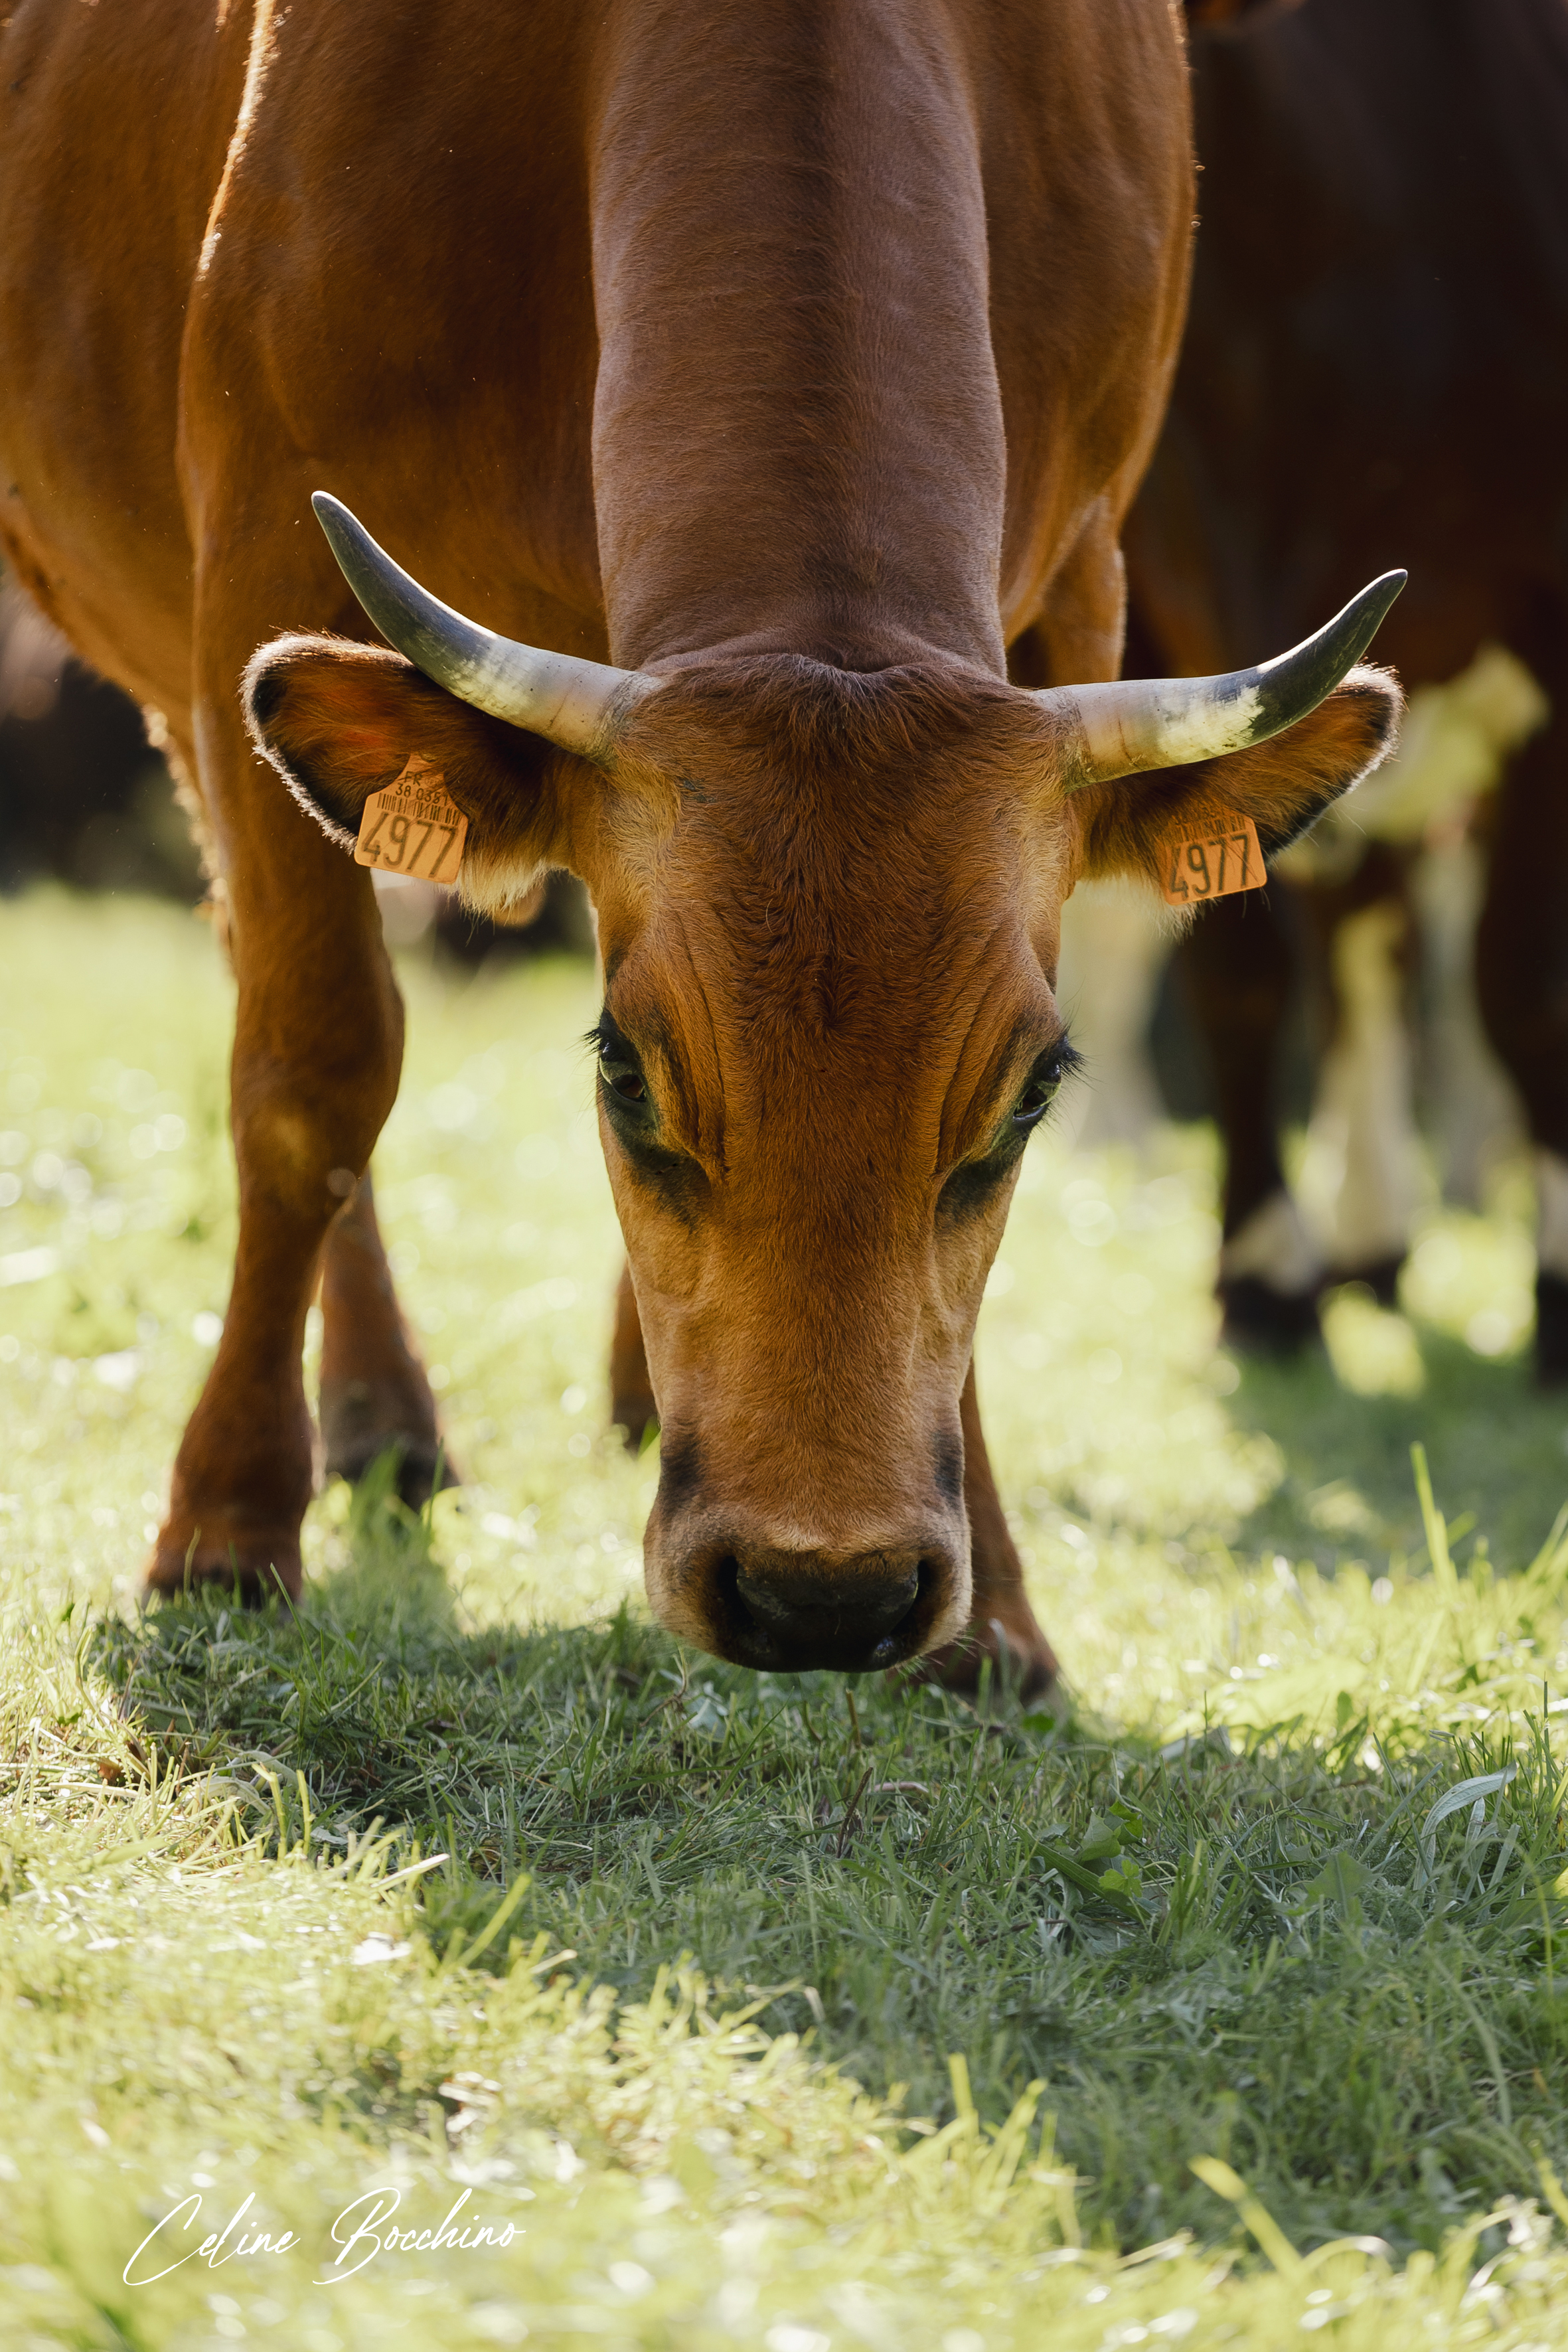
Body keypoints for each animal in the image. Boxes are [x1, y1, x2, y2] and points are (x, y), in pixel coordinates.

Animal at [0, 0, 1400, 1698]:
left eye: (1028, 1094)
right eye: (622, 1072)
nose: (824, 1594)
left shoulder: (1080, 575)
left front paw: (996, 1616)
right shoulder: (254, 557)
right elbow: (315, 1067)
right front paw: (226, 1524)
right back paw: (383, 1415)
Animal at [1125, 0, 1568, 1375]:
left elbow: (1521, 984)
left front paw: (1558, 1295)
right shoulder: (1179, 616)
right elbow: (1236, 964)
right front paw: (1262, 1274)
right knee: (1361, 929)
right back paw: (1367, 1237)